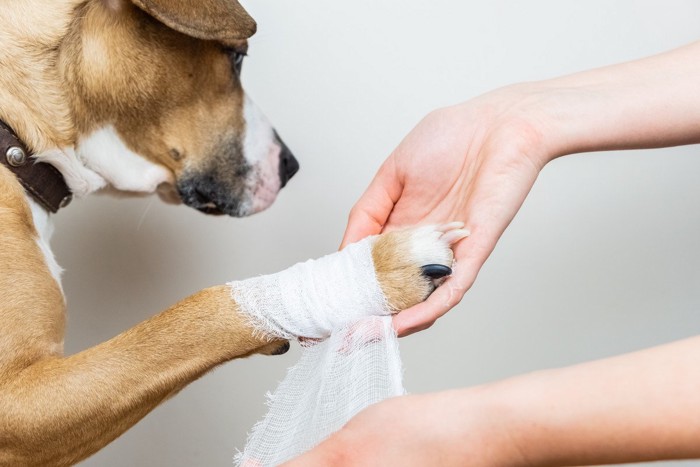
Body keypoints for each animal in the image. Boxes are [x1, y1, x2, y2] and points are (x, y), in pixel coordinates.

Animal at [0, 1, 462, 466]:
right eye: (238, 58)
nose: (290, 166)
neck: (17, 134)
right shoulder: (20, 405)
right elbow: (192, 314)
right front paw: (382, 268)